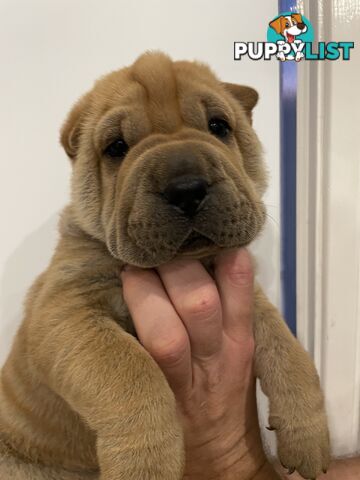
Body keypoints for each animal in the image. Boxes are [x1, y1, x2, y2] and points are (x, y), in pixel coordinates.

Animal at [0, 50, 330, 478]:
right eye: (116, 147)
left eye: (218, 126)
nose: (186, 188)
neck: (188, 260)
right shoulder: (65, 309)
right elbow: (130, 371)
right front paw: (145, 463)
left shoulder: (249, 295)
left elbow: (287, 347)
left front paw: (308, 433)